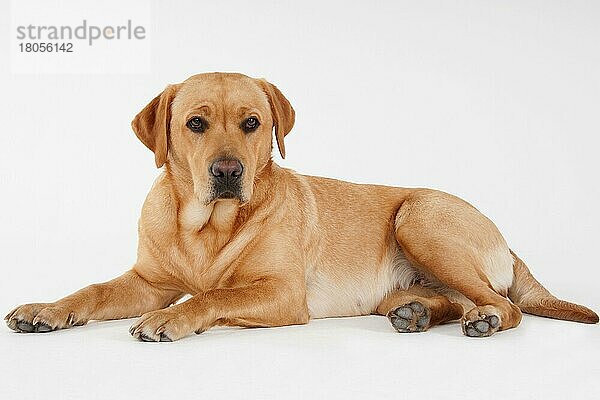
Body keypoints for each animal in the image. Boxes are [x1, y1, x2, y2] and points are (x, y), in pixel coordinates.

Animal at [5, 72, 600, 340]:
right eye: (195, 123)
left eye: (252, 123)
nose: (228, 172)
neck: (206, 228)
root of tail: (507, 240)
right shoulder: (147, 280)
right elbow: (92, 290)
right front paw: (46, 308)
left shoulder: (281, 293)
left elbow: (210, 297)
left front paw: (172, 318)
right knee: (453, 300)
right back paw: (419, 313)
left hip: (419, 217)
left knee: (504, 305)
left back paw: (483, 319)